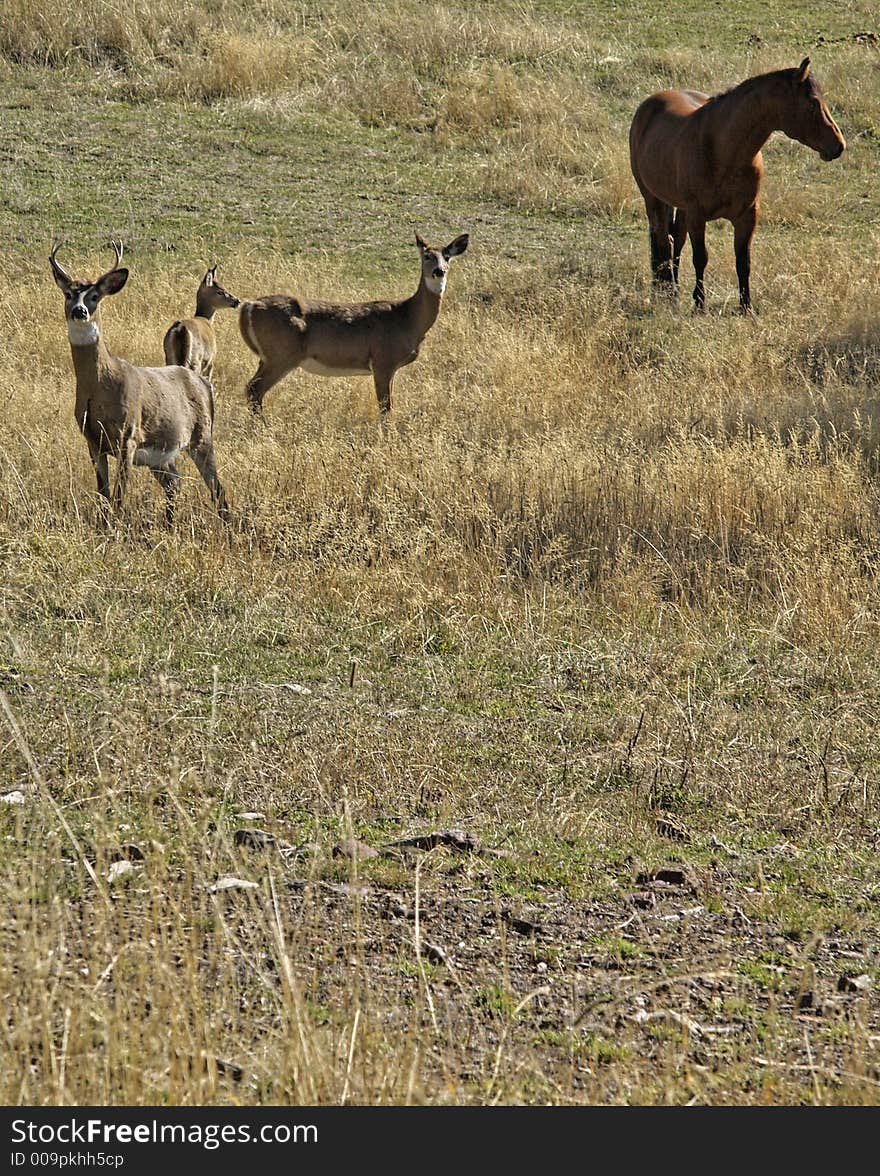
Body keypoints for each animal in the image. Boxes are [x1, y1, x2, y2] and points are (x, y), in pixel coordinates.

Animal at [630, 60, 842, 310]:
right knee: (664, 241)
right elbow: (700, 258)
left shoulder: (747, 215)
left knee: (676, 241)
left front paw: (746, 306)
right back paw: (669, 294)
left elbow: (743, 261)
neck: (725, 151)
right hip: (653, 199)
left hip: (679, 207)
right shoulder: (697, 216)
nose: (838, 145)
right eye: (812, 103)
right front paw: (699, 305)